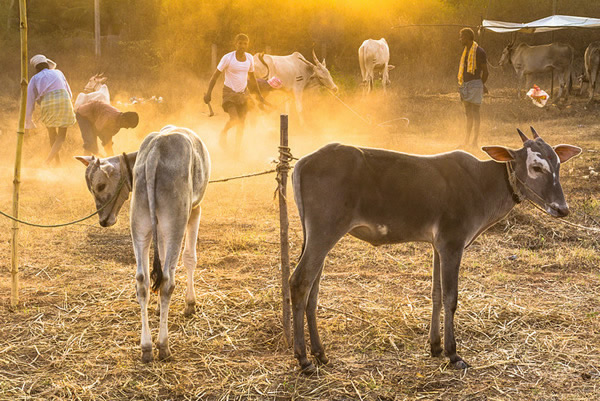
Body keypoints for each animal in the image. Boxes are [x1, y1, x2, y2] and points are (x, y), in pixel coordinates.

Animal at [76, 126, 211, 362]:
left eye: (100, 185)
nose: (103, 221)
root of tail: (156, 150)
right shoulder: (196, 209)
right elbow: (189, 258)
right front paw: (190, 304)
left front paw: (158, 309)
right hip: (176, 222)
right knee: (167, 281)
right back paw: (163, 346)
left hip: (139, 224)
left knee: (142, 281)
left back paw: (146, 347)